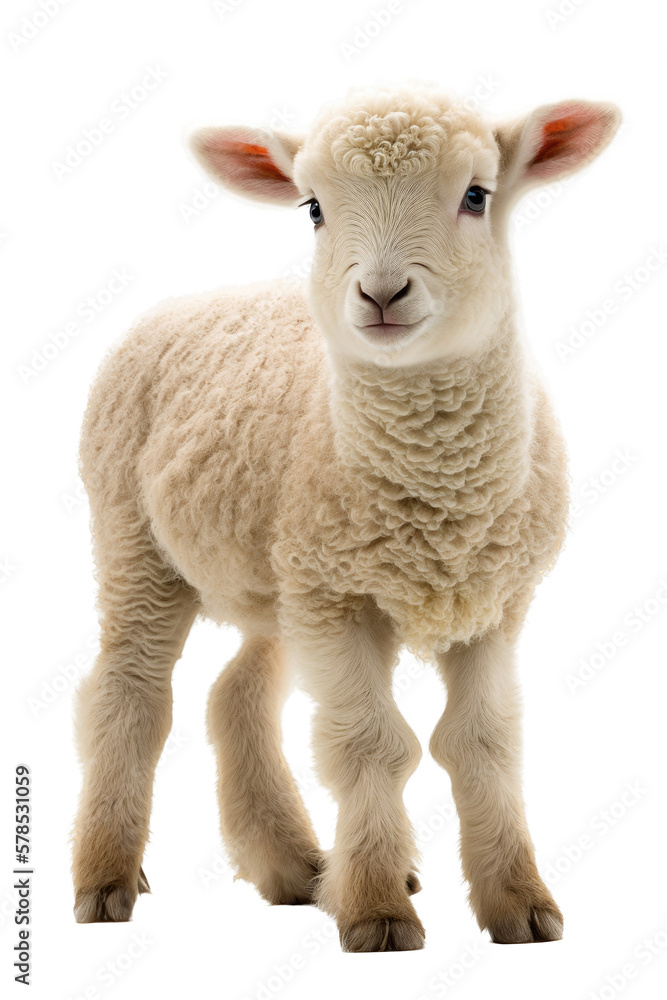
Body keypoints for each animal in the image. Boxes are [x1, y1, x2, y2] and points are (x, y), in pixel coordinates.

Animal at [71, 83, 621, 951]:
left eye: (476, 195)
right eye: (313, 209)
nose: (382, 294)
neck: (438, 491)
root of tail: (188, 298)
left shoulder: (492, 603)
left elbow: (482, 742)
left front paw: (518, 902)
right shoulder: (336, 602)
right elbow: (372, 744)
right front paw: (375, 910)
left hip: (276, 571)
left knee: (236, 692)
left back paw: (295, 865)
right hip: (134, 537)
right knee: (128, 694)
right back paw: (106, 877)